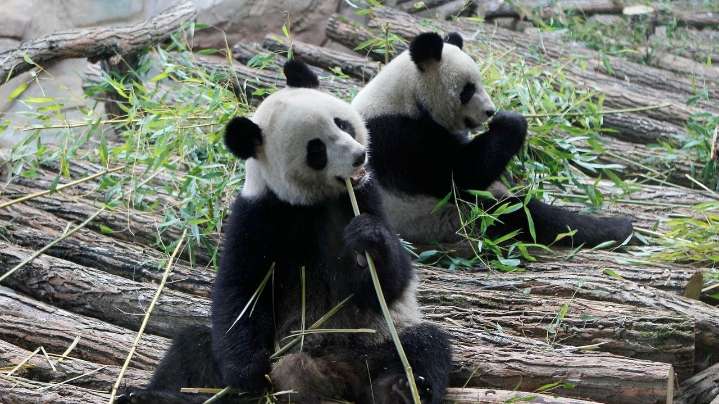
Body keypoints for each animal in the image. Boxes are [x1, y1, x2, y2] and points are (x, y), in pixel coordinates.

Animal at [118, 60, 451, 404]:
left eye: (342, 124)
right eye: (316, 150)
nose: (359, 156)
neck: (306, 203)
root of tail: (331, 375)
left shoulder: (362, 197)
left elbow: (383, 286)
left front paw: (368, 238)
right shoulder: (256, 216)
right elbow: (241, 293)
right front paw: (248, 375)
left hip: (373, 344)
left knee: (424, 345)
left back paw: (400, 389)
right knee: (191, 346)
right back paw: (148, 395)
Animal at [352, 32, 634, 247]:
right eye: (467, 90)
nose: (490, 111)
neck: (405, 95)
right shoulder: (399, 137)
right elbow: (458, 175)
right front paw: (511, 122)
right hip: (447, 217)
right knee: (521, 214)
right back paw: (616, 229)